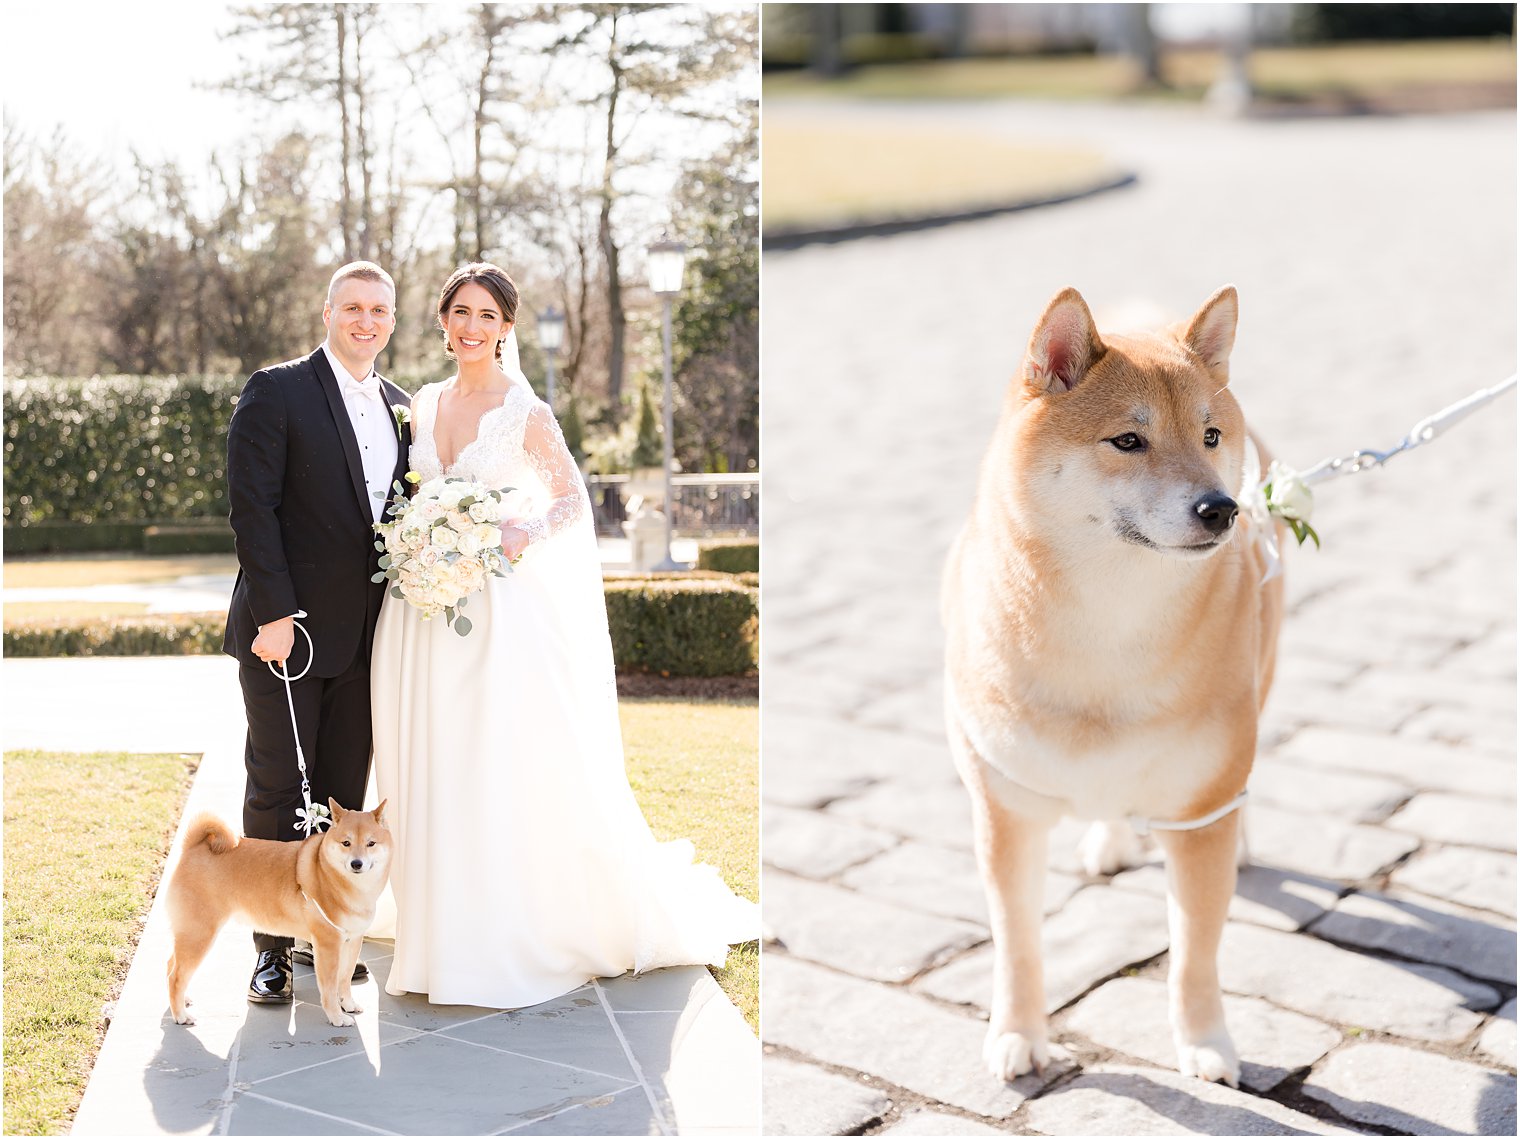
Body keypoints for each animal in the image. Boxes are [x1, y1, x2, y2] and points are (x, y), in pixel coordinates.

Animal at [167, 796, 392, 1027]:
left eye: (371, 843)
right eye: (346, 843)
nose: (357, 863)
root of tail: (193, 847)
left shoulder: (352, 940)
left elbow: (345, 979)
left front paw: (348, 1004)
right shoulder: (329, 944)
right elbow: (329, 988)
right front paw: (337, 1016)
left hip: (191, 933)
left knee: (171, 966)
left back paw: (183, 1000)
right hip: (199, 933)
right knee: (176, 977)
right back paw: (180, 1015)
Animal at [948, 284, 1282, 1082]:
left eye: (1210, 435)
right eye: (1128, 442)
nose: (1219, 508)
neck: (1108, 628)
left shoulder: (1198, 814)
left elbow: (1194, 952)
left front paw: (1205, 1043)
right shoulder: (1004, 813)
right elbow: (1018, 945)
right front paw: (1019, 1032)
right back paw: (1109, 838)